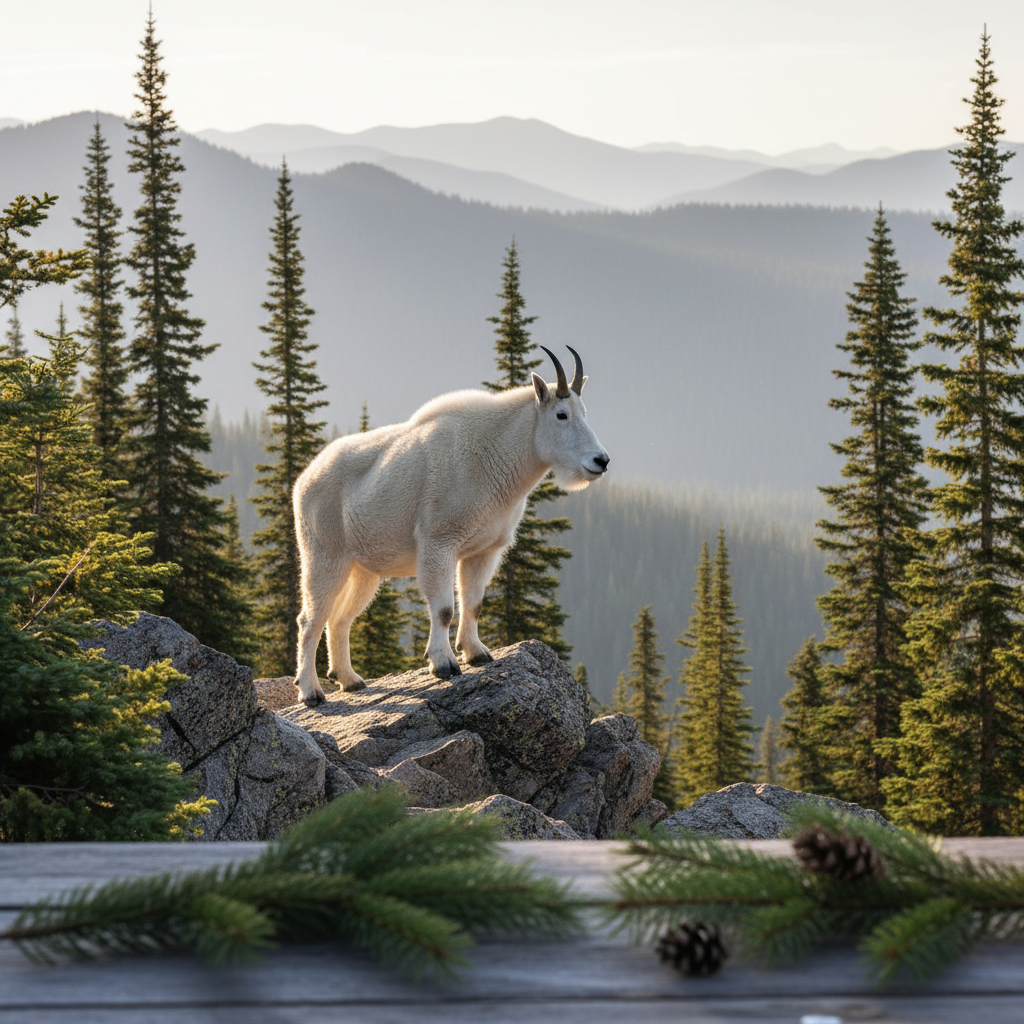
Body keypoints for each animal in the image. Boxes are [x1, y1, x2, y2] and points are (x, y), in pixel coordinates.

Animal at [292, 346, 609, 704]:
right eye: (561, 415)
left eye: (584, 412)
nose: (601, 460)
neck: (496, 456)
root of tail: (304, 479)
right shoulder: (439, 541)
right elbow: (444, 608)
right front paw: (443, 664)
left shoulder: (484, 550)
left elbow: (474, 603)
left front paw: (477, 653)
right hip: (324, 554)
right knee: (310, 619)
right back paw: (311, 691)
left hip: (364, 569)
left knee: (341, 618)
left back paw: (350, 680)